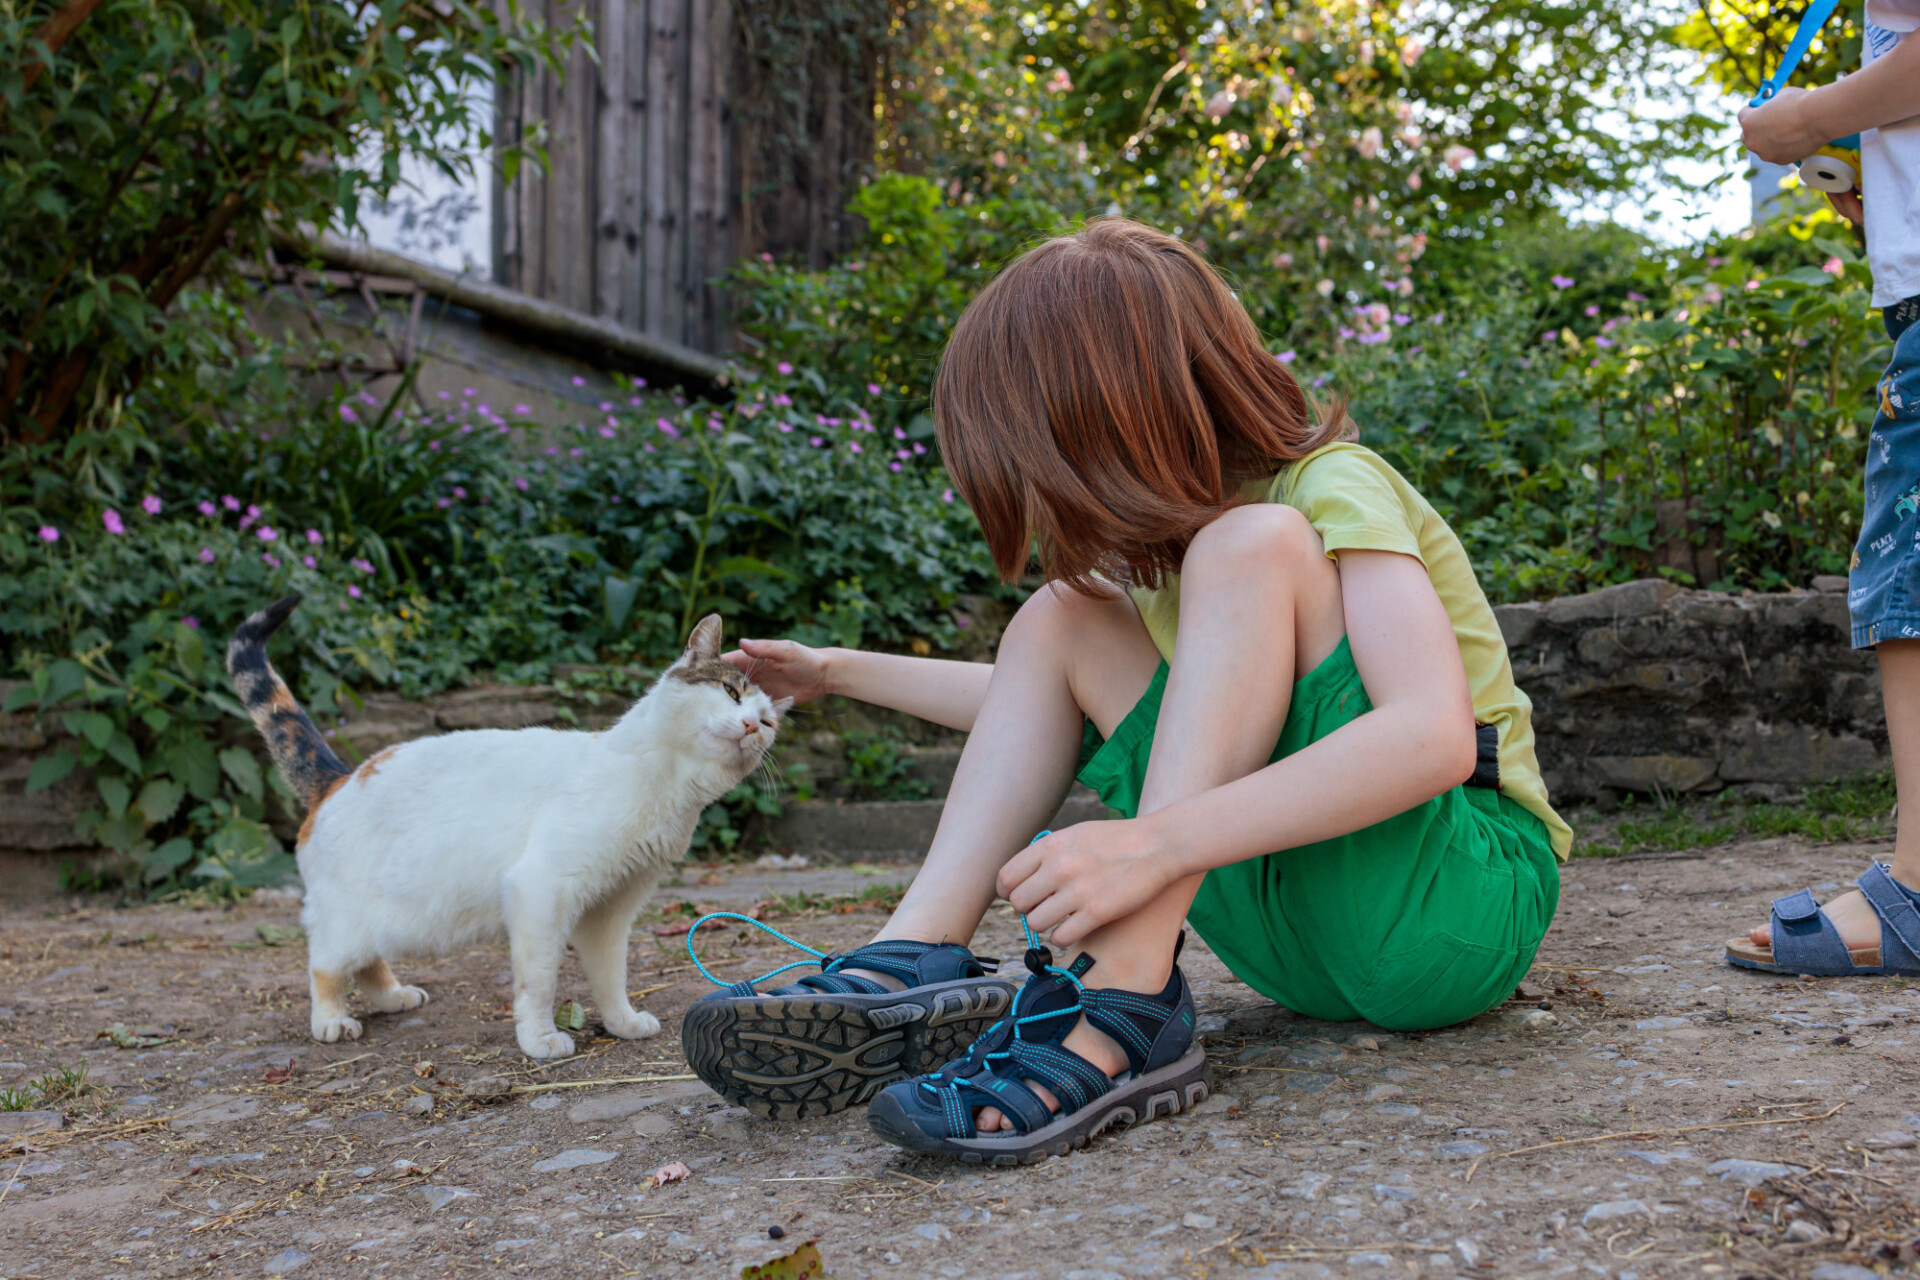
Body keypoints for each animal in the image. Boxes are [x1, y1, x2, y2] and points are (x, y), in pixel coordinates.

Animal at [228, 602, 783, 1059]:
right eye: (730, 691)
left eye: (769, 723)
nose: (751, 727)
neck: (666, 787)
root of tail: (340, 777)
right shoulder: (541, 890)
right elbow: (538, 982)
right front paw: (539, 1040)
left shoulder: (609, 912)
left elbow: (611, 977)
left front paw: (621, 1022)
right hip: (348, 918)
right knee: (325, 963)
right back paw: (331, 1020)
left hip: (390, 919)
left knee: (367, 961)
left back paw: (392, 997)